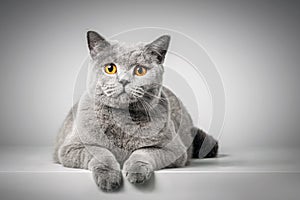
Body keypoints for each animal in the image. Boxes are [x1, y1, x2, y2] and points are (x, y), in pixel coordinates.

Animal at [53, 30, 218, 191]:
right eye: (110, 68)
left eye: (140, 70)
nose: (124, 80)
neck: (121, 121)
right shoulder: (71, 147)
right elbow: (102, 153)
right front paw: (108, 177)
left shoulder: (173, 150)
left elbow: (143, 152)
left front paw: (136, 171)